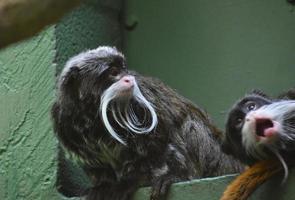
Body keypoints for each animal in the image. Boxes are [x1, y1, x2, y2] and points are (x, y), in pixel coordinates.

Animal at [51, 46, 243, 200]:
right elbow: (97, 165)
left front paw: (131, 182)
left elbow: (158, 144)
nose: (129, 78)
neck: (94, 114)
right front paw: (103, 187)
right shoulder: (63, 119)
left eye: (124, 69)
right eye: (113, 72)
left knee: (188, 124)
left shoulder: (142, 98)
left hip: (216, 156)